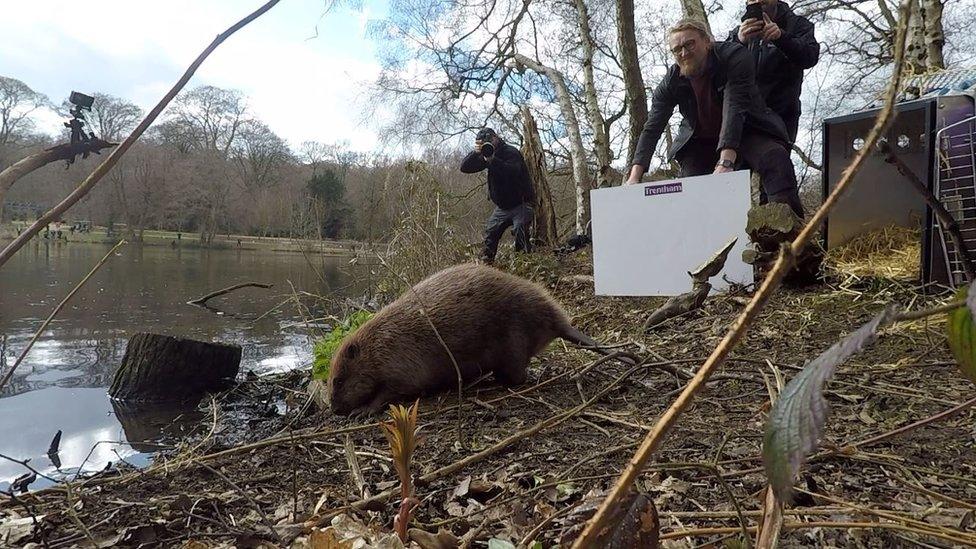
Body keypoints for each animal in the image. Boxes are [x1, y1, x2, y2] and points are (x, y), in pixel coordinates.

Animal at [324, 262, 620, 416]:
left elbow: (392, 391)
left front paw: (362, 410)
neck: (377, 344)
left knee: (518, 376)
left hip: (513, 341)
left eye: (338, 380)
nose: (334, 408)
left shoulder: (401, 364)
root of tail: (560, 323)